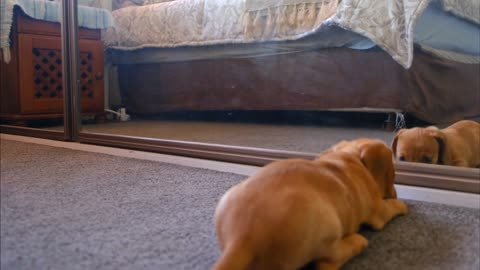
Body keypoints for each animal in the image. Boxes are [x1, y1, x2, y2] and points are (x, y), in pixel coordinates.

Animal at [212, 139, 406, 270]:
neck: (348, 157)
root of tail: (241, 238)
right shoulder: (379, 210)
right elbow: (391, 207)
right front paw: (402, 205)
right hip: (329, 226)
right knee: (326, 262)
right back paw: (357, 241)